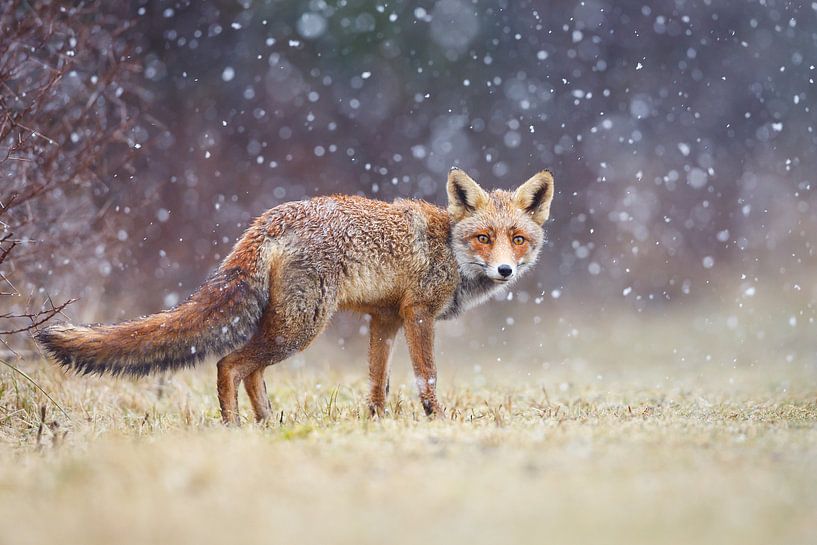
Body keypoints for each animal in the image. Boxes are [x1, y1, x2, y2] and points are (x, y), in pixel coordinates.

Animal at [36, 168, 554, 424]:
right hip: (302, 326)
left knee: (250, 372)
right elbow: (426, 379)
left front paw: (375, 424)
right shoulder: (417, 314)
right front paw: (437, 423)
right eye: (484, 238)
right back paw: (233, 429)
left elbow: (377, 383)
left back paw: (267, 424)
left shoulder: (385, 319)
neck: (448, 247)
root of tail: (269, 219)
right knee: (230, 364)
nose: (506, 270)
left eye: (518, 239)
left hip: (291, 324)